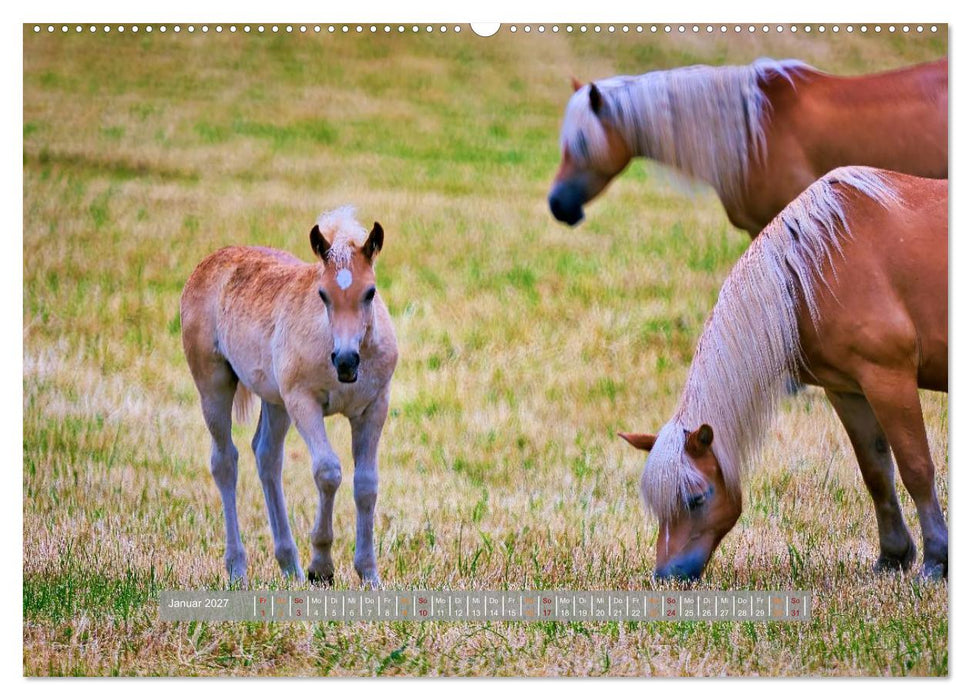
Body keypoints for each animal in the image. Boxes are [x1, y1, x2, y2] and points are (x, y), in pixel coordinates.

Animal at [180, 207, 398, 587]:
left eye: (370, 292)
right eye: (323, 294)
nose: (345, 361)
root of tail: (209, 261)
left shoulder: (374, 407)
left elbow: (366, 484)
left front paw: (369, 574)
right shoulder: (303, 401)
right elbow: (328, 471)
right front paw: (321, 566)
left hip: (274, 400)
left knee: (267, 456)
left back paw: (289, 565)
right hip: (214, 384)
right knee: (225, 461)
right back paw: (238, 569)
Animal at [618, 166, 947, 581]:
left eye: (696, 499)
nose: (666, 576)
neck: (819, 264)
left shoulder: (889, 380)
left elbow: (916, 468)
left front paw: (937, 559)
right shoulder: (849, 391)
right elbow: (876, 474)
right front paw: (892, 557)